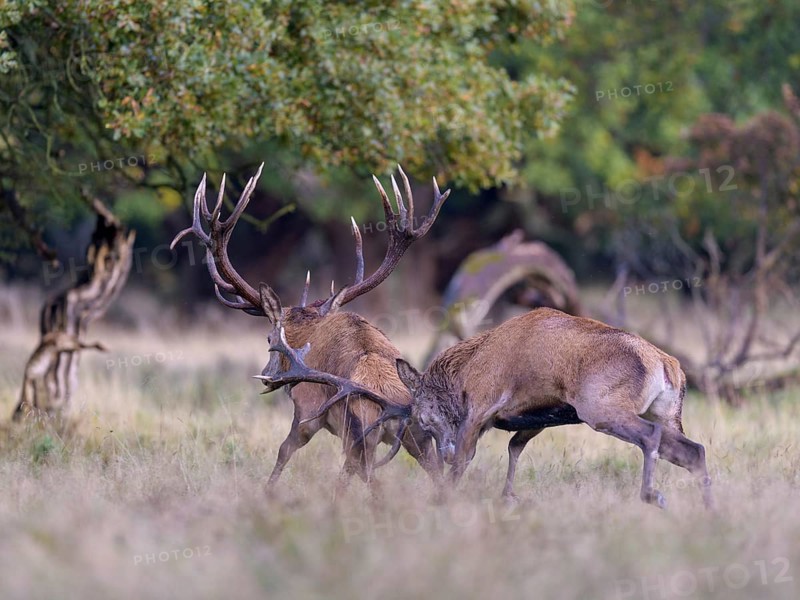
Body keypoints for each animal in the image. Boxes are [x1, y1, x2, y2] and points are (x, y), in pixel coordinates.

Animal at [170, 163, 450, 494]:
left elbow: (284, 451)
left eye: (269, 338)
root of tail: (397, 406)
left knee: (370, 480)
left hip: (359, 433)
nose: (266, 375)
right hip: (419, 436)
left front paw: (268, 491)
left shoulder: (306, 409)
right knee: (435, 477)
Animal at [310, 307, 714, 509]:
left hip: (601, 407)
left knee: (652, 439)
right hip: (668, 412)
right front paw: (509, 497)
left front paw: (443, 503)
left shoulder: (482, 404)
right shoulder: (536, 415)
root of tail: (668, 366)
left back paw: (652, 495)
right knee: (693, 449)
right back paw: (709, 513)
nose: (442, 448)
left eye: (421, 416)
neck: (464, 374)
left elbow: (463, 464)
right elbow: (513, 447)